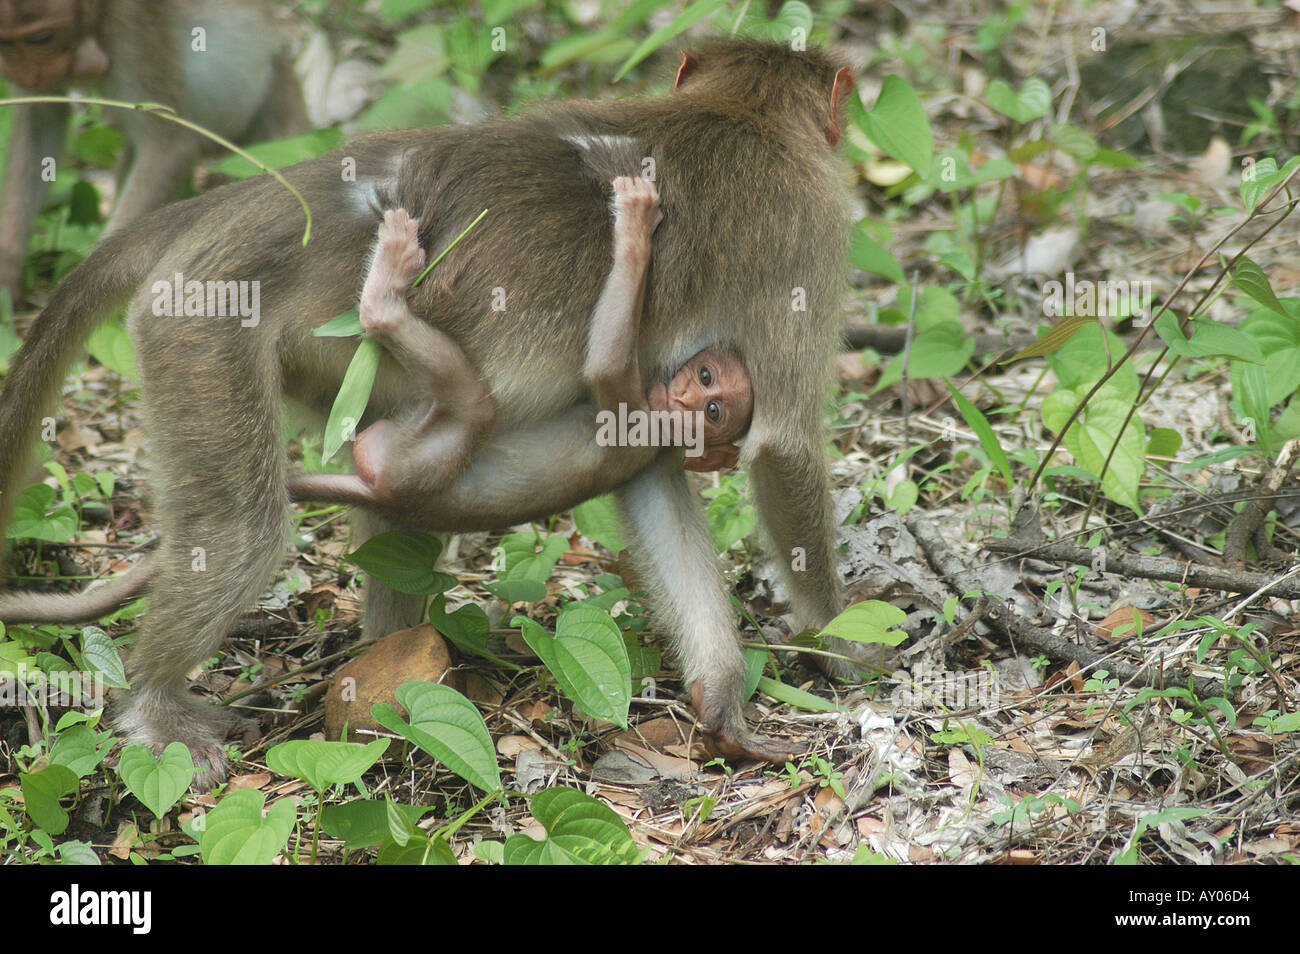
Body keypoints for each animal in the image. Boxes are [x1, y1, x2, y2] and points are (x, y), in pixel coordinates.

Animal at [0, 0, 308, 302]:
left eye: (41, 38)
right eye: (5, 43)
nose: (26, 74)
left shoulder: (131, 26)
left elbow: (167, 147)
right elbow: (42, 123)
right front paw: (8, 268)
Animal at [0, 39, 856, 785]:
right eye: (707, 376)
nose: (699, 397)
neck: (744, 107)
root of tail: (231, 207)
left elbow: (650, 478)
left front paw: (724, 695)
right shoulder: (810, 232)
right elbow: (783, 449)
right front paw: (847, 647)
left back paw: (389, 666)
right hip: (198, 321)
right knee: (242, 532)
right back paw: (155, 703)